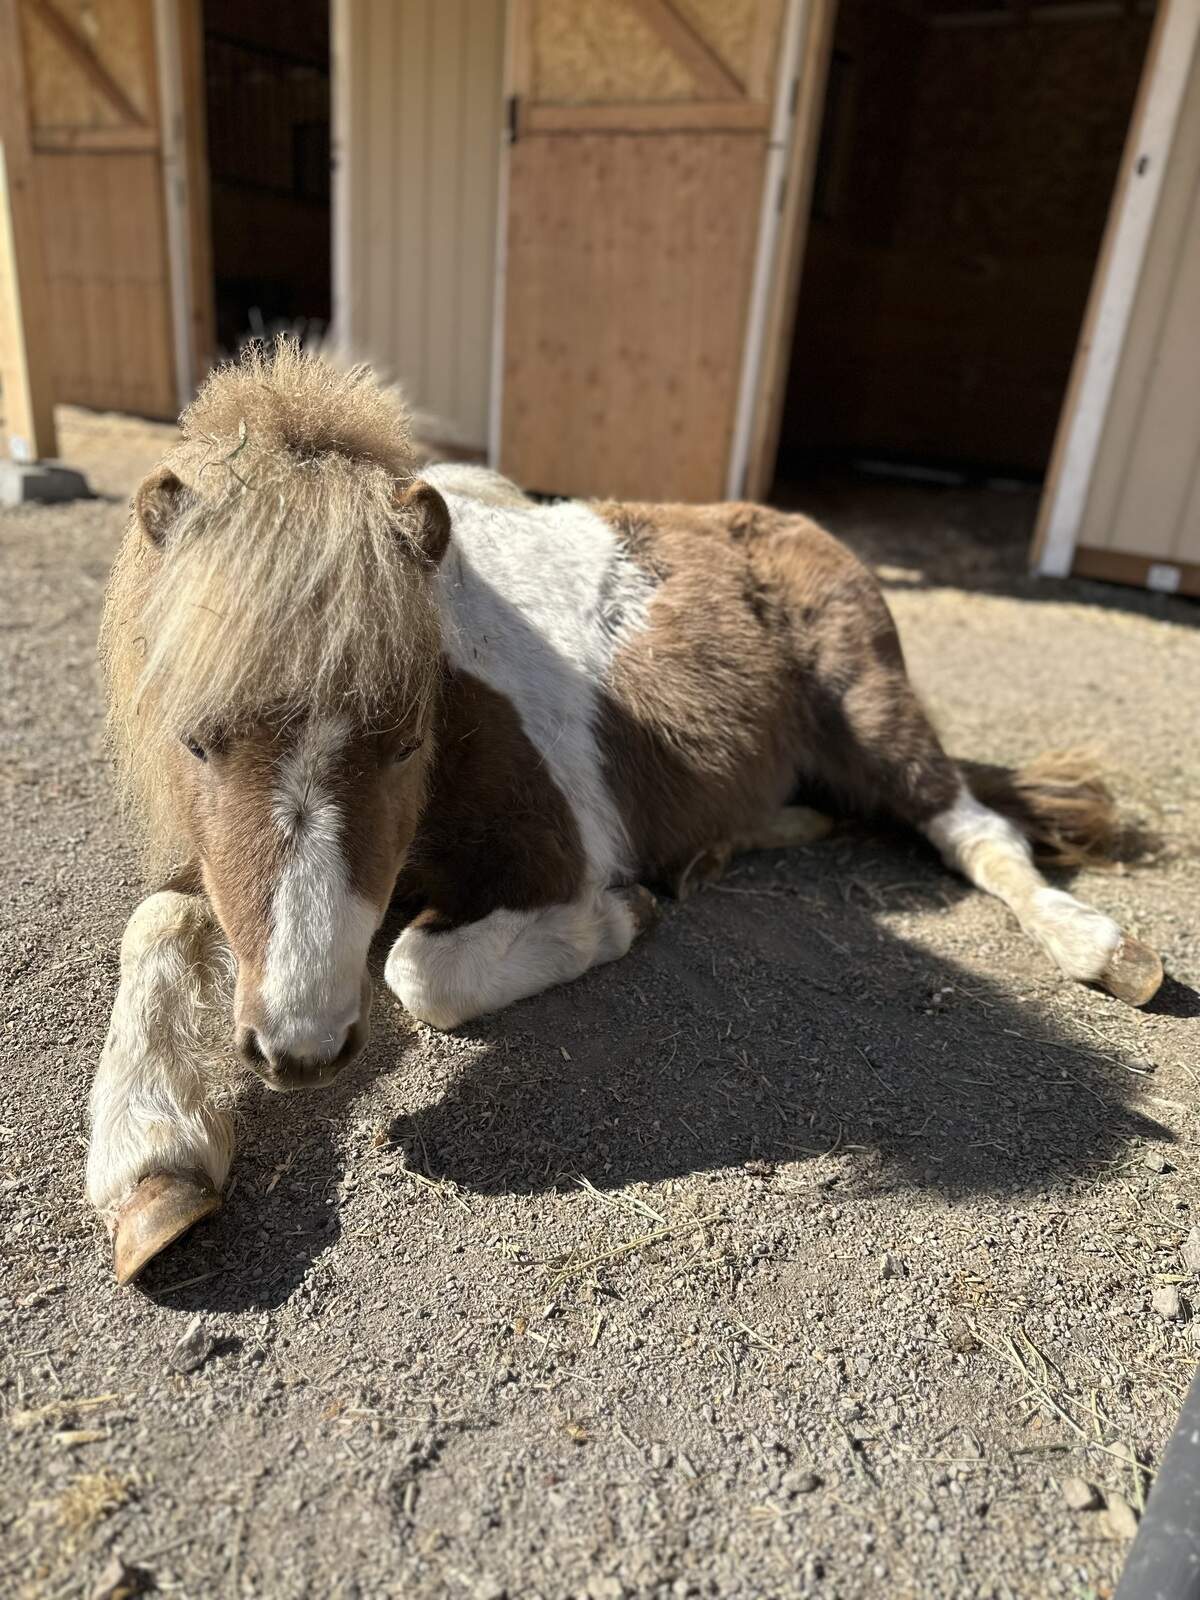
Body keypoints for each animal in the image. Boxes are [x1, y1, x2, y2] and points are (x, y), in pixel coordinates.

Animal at [91, 341, 1163, 1284]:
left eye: (404, 741)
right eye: (194, 742)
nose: (300, 1049)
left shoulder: (550, 860)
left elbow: (417, 972)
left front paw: (623, 916)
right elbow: (163, 916)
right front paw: (152, 1161)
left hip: (875, 716)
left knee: (976, 830)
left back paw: (1104, 949)